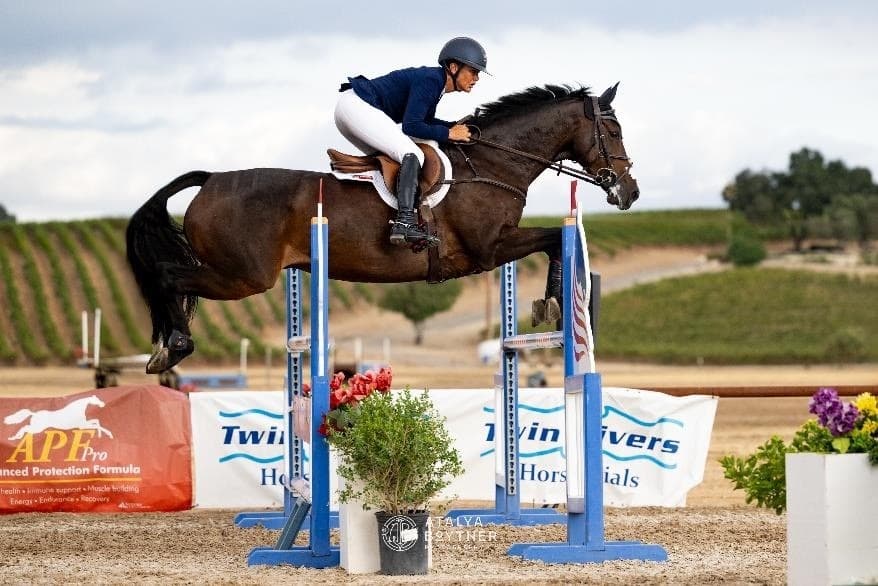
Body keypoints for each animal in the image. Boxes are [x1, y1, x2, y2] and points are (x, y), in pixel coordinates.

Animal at [126, 83, 639, 374]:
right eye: (613, 132)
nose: (629, 191)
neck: (493, 163)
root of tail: (211, 179)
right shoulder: (489, 249)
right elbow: (553, 237)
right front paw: (553, 302)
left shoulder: (494, 248)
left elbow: (553, 240)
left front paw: (550, 302)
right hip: (243, 276)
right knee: (170, 277)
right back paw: (171, 348)